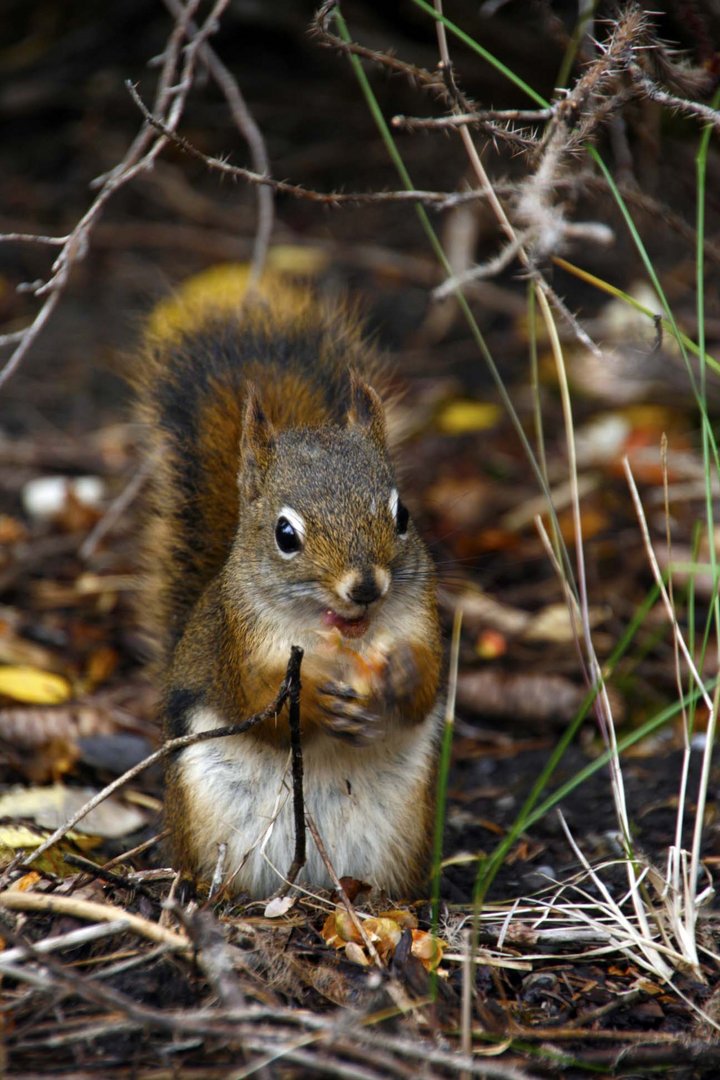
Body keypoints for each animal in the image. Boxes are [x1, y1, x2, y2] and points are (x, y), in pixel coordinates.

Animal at [132, 261, 442, 894]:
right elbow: (259, 704)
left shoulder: (422, 619)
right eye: (285, 535)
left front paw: (400, 676)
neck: (342, 637)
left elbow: (427, 685)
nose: (366, 587)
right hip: (209, 818)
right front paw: (317, 701)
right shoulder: (237, 643)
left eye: (402, 515)